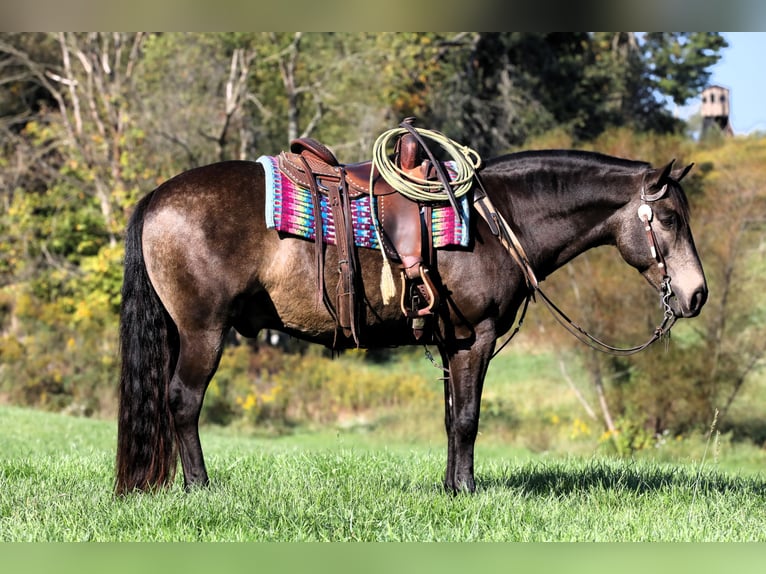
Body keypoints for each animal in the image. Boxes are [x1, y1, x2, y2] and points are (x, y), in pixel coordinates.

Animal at [117, 143, 712, 496]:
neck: (498, 219)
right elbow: (468, 420)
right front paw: (467, 492)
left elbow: (451, 420)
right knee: (183, 402)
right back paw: (200, 488)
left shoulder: (452, 344)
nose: (696, 294)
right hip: (204, 331)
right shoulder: (476, 339)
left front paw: (450, 488)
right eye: (668, 217)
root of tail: (156, 197)